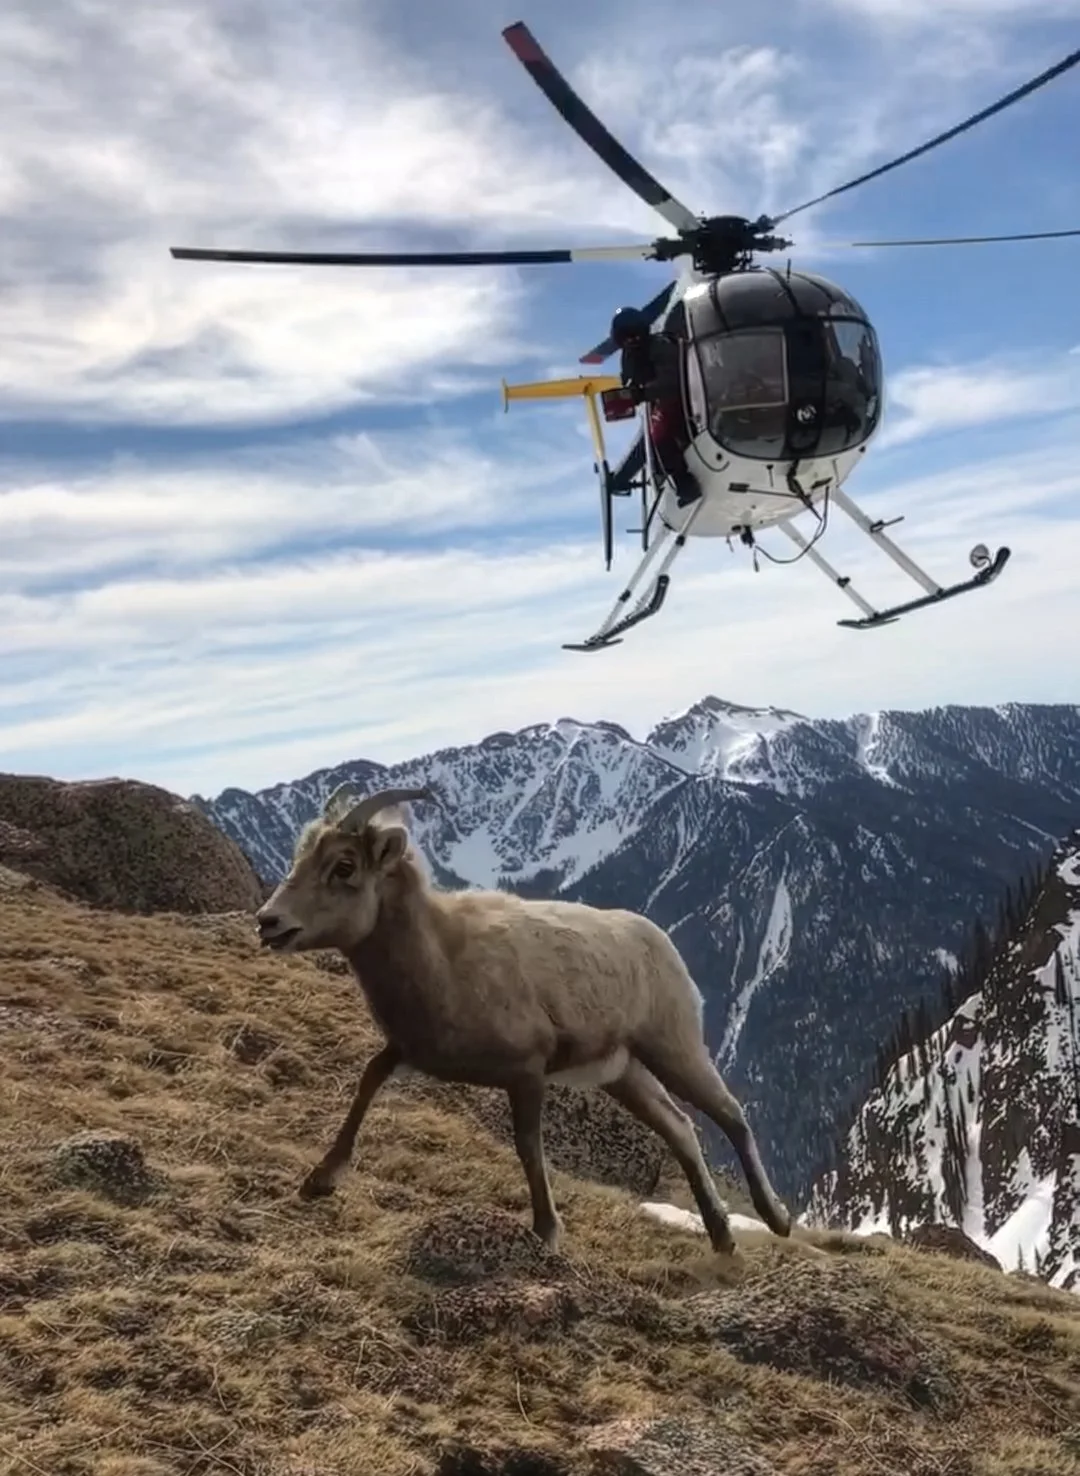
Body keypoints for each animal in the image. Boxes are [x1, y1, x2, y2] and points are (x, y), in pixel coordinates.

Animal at [255, 782, 791, 1254]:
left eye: (344, 866)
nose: (268, 923)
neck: (445, 956)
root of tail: (658, 940)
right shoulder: (405, 1051)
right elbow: (366, 1083)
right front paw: (320, 1179)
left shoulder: (527, 1072)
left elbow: (529, 1147)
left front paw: (548, 1232)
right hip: (624, 1073)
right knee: (679, 1128)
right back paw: (721, 1237)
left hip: (674, 1048)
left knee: (732, 1116)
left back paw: (776, 1219)